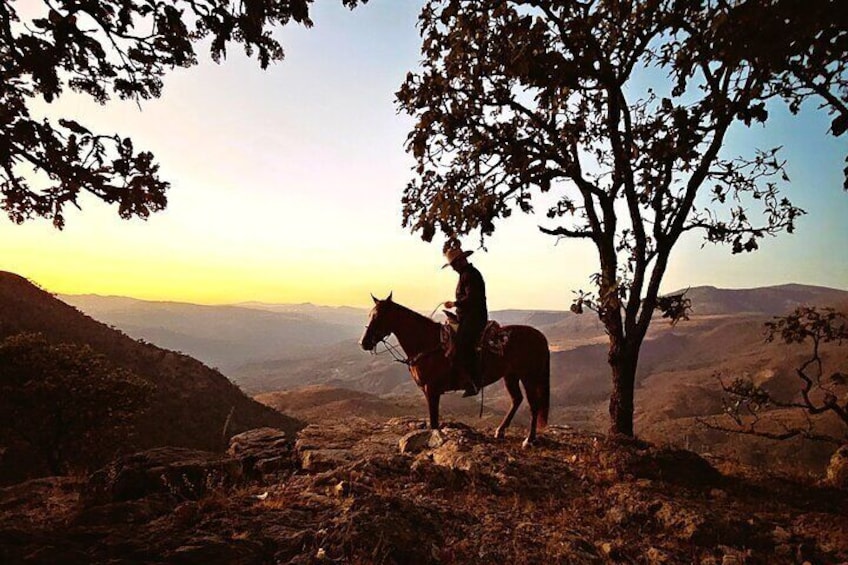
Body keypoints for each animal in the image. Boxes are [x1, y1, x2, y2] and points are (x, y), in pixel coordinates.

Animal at [358, 294, 548, 448]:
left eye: (379, 316)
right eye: (369, 315)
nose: (363, 342)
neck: (428, 343)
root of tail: (539, 335)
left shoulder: (432, 390)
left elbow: (434, 421)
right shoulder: (428, 390)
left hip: (529, 376)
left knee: (533, 405)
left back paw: (529, 439)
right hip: (511, 376)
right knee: (517, 400)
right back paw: (500, 431)